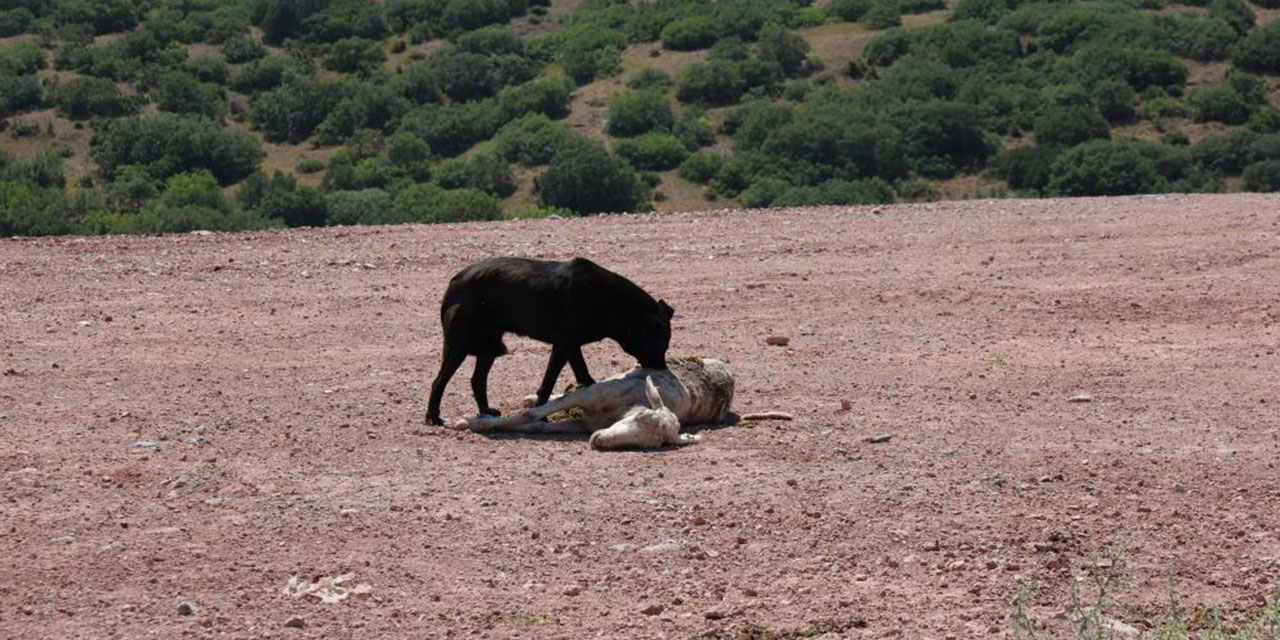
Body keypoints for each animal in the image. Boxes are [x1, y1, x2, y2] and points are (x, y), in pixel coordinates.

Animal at [424, 257, 675, 427]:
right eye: (661, 346)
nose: (663, 371)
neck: (610, 301)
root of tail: (454, 281)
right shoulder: (566, 344)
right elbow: (564, 379)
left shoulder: (566, 347)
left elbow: (565, 379)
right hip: (459, 346)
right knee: (439, 381)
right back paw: (432, 417)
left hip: (490, 347)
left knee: (477, 380)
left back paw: (485, 410)